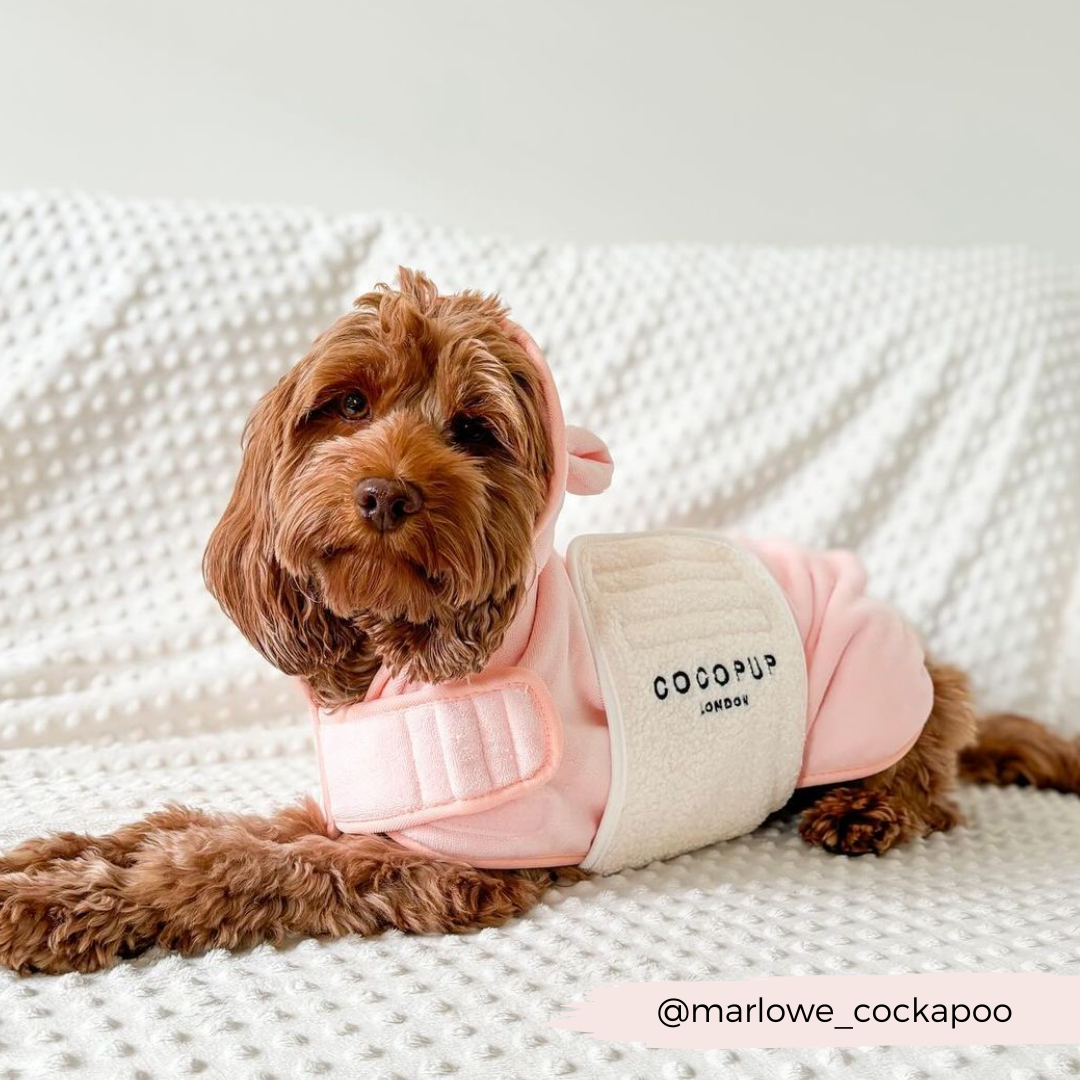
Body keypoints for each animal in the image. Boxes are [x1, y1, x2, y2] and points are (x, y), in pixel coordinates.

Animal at [0, 267, 1075, 972]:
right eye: (345, 405)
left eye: (474, 431)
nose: (384, 494)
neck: (411, 651)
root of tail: (931, 657)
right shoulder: (370, 813)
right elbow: (200, 827)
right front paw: (59, 861)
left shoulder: (450, 862)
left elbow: (232, 866)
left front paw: (55, 906)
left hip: (873, 705)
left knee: (930, 789)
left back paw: (866, 807)